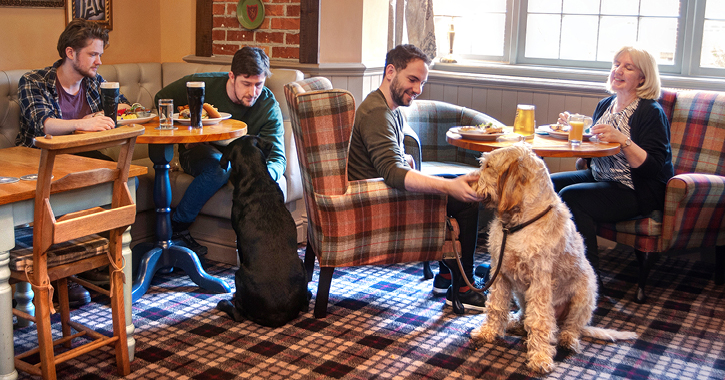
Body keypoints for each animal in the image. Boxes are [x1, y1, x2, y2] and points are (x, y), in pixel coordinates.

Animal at [215, 136, 306, 326]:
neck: (255, 177)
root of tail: (278, 315)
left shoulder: (238, 240)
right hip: (302, 267)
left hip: (239, 275)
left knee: (238, 314)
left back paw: (225, 303)